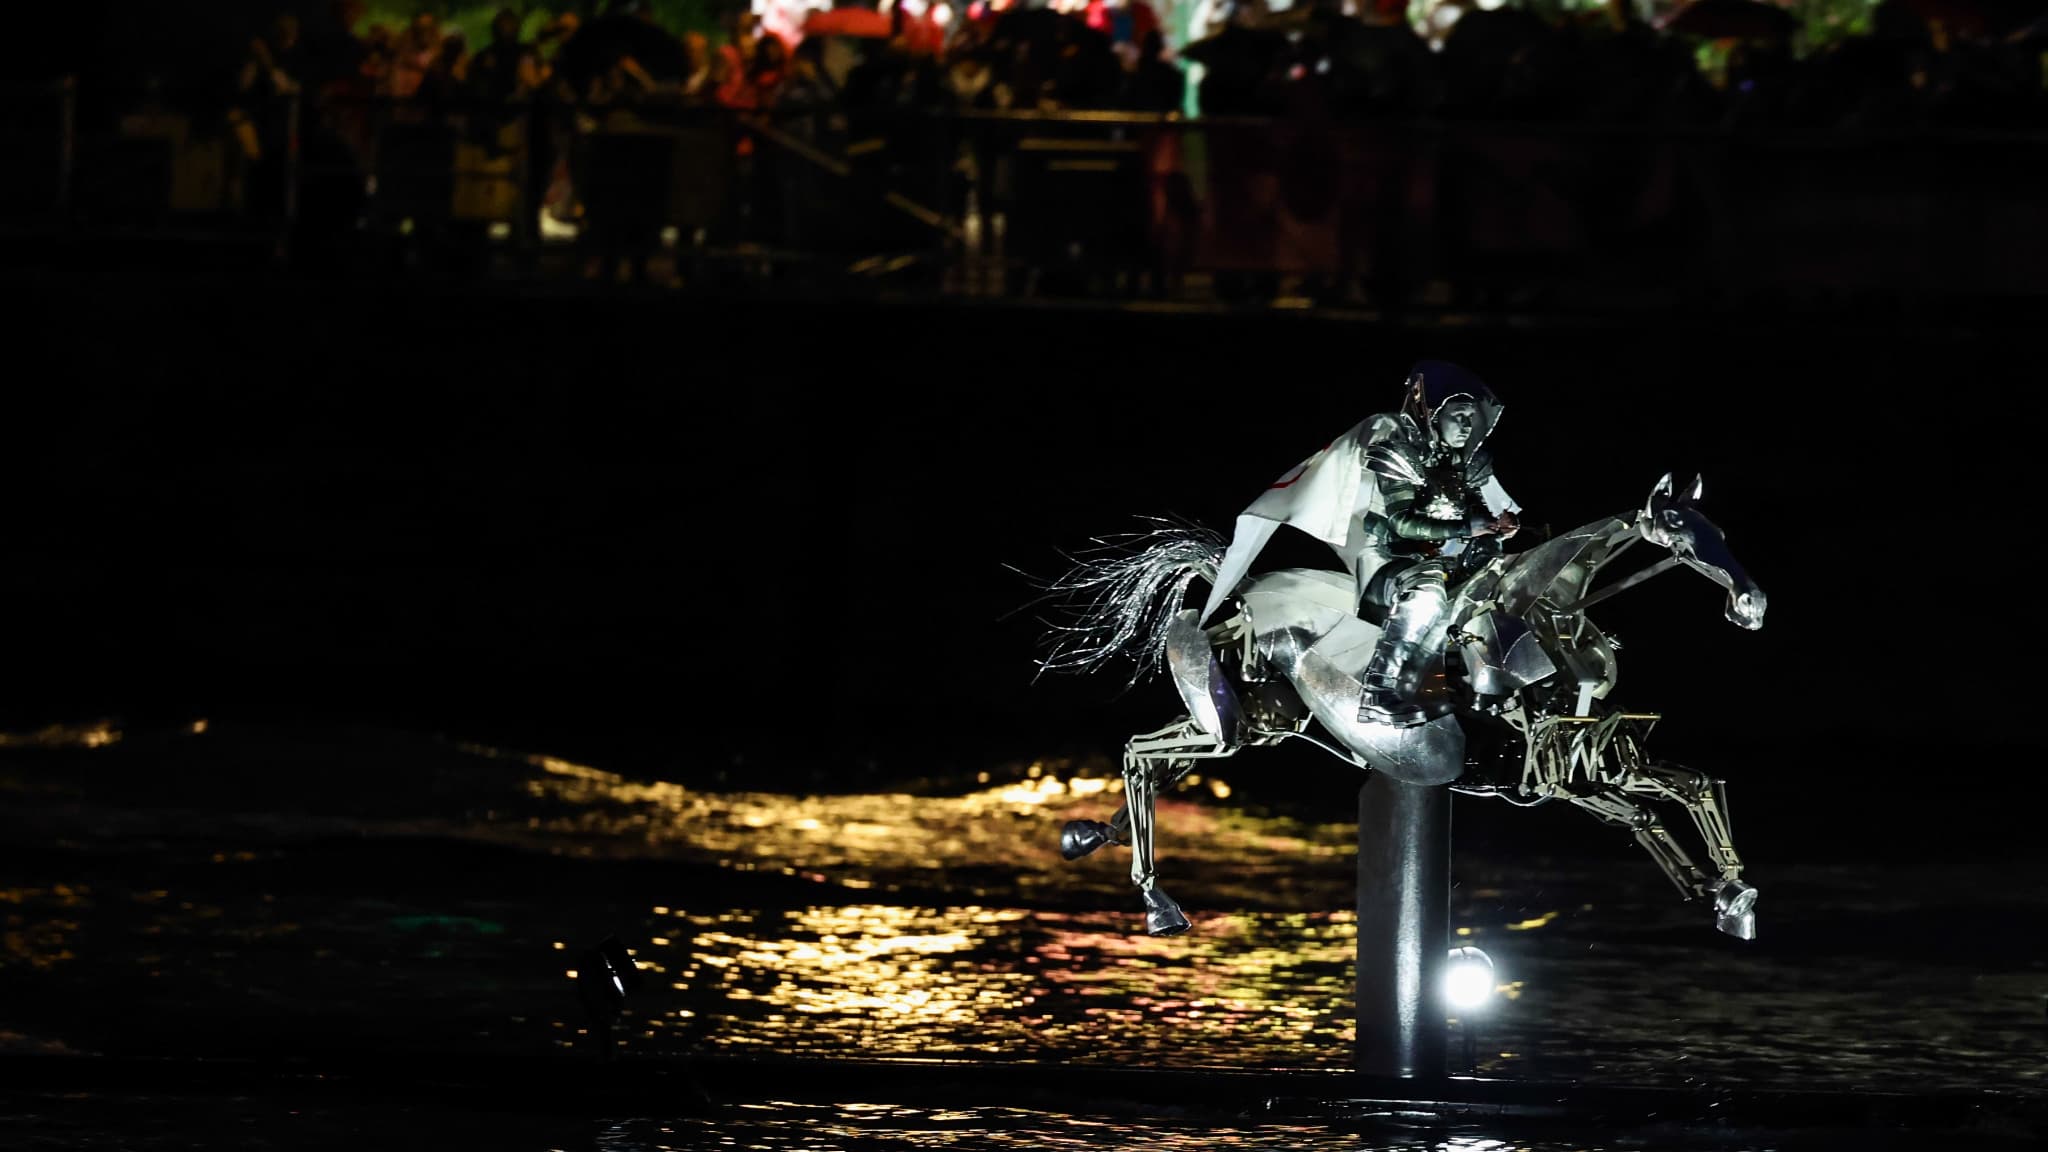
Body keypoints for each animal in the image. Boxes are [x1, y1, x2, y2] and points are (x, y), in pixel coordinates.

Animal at [1032, 473, 1769, 934]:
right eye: (1674, 524)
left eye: (1717, 525)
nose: (1751, 602)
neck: (1549, 621)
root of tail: (1234, 590)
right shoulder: (1552, 772)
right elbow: (1650, 812)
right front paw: (1721, 890)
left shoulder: (1598, 760)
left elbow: (1688, 792)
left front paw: (1727, 892)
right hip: (1236, 730)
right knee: (1138, 757)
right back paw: (1156, 900)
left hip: (1253, 721)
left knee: (1154, 763)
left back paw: (1093, 839)